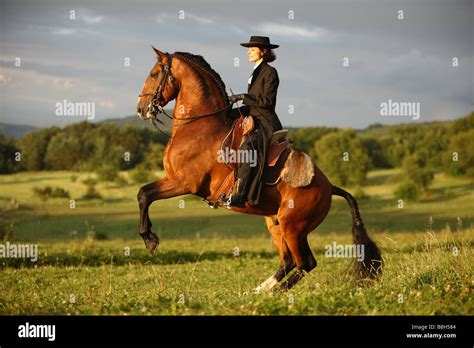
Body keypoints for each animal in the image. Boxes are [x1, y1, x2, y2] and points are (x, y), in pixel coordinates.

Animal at [136, 46, 382, 290]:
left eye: (154, 74)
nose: (140, 109)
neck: (198, 126)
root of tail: (329, 186)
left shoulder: (184, 183)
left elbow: (144, 195)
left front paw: (150, 239)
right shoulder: (175, 180)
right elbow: (143, 193)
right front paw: (149, 237)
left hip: (294, 227)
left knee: (306, 262)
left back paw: (277, 292)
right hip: (275, 223)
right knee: (288, 260)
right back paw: (261, 290)